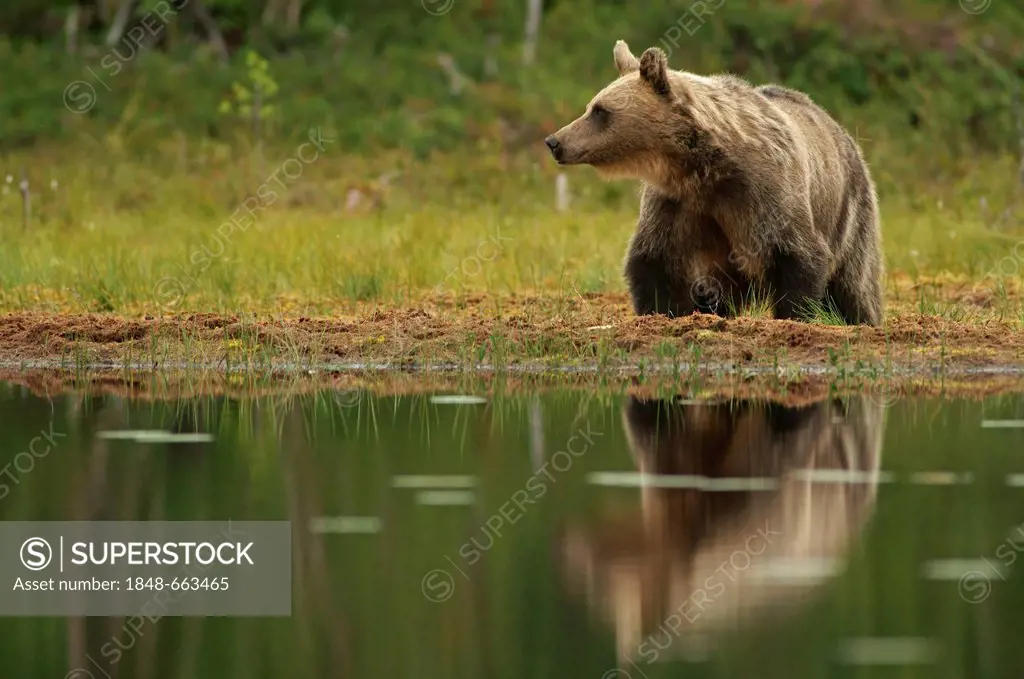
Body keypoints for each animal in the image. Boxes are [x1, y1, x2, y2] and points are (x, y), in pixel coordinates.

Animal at [544, 40, 888, 327]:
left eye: (600, 110)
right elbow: (655, 259)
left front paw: (794, 316)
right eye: (591, 106)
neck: (702, 167)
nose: (555, 141)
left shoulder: (765, 193)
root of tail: (841, 129)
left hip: (850, 209)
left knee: (855, 282)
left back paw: (863, 321)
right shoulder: (676, 202)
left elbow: (797, 254)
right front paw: (661, 313)